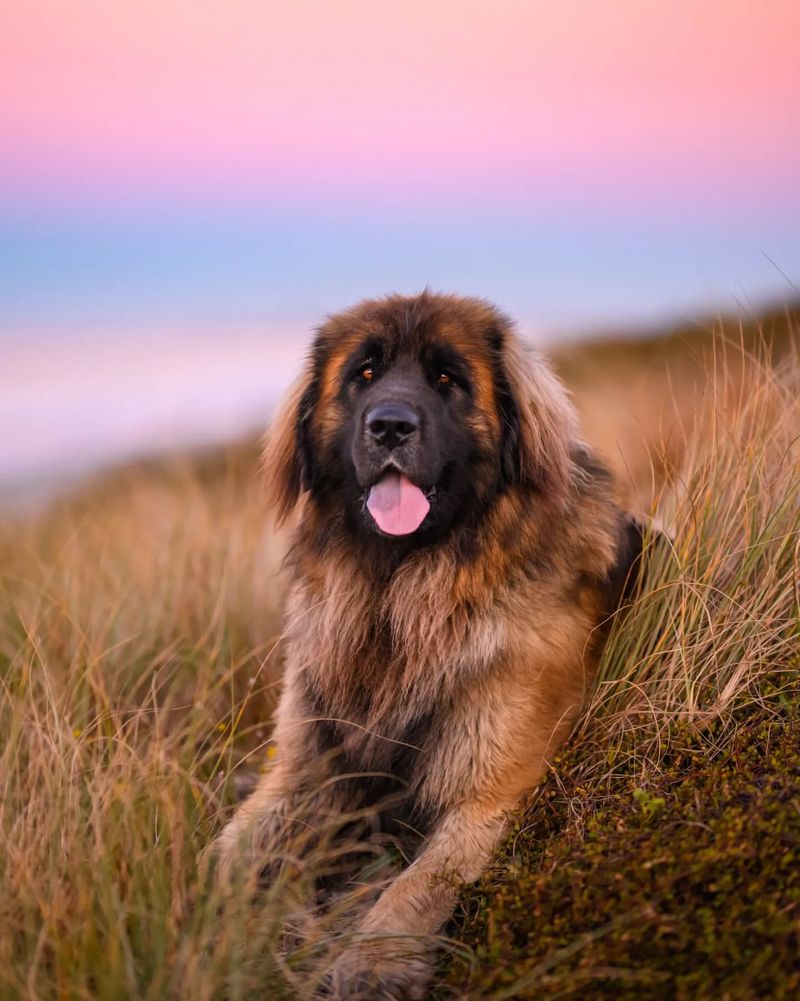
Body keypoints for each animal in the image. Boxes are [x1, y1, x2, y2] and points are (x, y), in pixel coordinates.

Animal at [214, 292, 648, 996]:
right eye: (364, 374)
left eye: (447, 379)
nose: (390, 426)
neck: (400, 593)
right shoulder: (301, 771)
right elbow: (224, 855)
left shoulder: (489, 794)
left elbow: (416, 885)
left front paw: (369, 964)